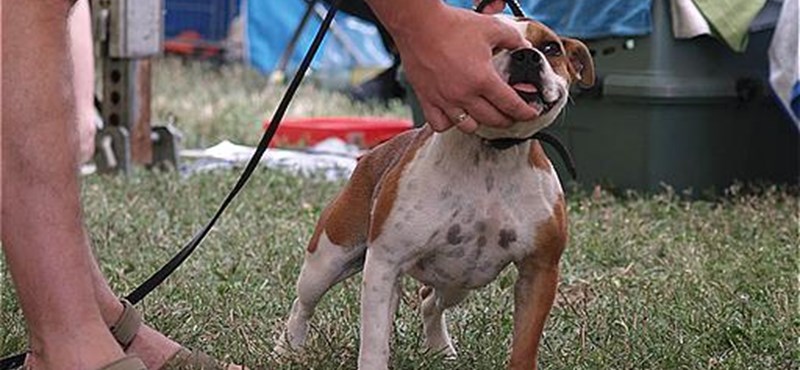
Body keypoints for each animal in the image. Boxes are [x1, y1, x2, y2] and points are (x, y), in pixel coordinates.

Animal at [278, 15, 592, 370]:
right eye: (489, 43)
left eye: (550, 47)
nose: (526, 56)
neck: (491, 153)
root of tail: (374, 154)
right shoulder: (385, 265)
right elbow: (374, 341)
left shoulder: (539, 271)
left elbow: (524, 346)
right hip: (327, 259)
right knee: (303, 304)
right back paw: (287, 348)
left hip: (459, 280)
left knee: (429, 301)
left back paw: (440, 349)